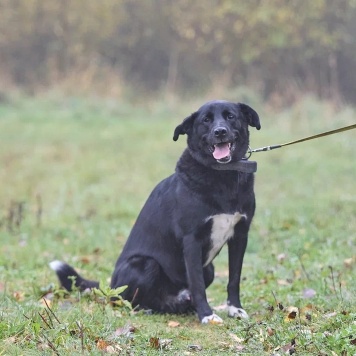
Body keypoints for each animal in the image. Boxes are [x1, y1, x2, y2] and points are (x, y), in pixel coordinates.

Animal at [50, 99, 260, 322]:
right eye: (206, 120)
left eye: (230, 116)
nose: (220, 132)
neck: (223, 176)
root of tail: (111, 286)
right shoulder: (192, 240)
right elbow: (197, 284)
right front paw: (206, 315)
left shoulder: (240, 235)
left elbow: (234, 278)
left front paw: (235, 309)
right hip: (145, 264)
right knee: (127, 299)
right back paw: (148, 308)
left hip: (209, 269)